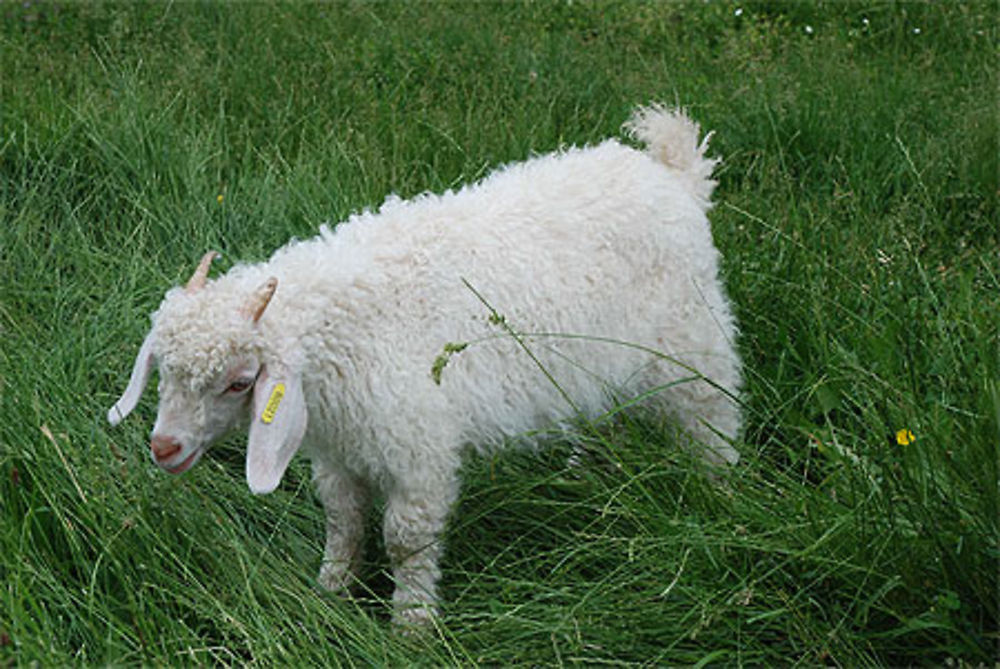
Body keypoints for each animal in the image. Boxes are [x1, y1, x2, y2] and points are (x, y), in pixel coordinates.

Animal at [107, 105, 744, 628]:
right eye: (163, 371)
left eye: (240, 382)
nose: (164, 447)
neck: (339, 333)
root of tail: (673, 174)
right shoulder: (338, 452)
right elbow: (343, 520)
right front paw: (330, 591)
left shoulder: (419, 452)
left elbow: (406, 541)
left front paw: (411, 625)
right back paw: (584, 477)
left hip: (694, 342)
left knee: (714, 418)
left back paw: (718, 497)